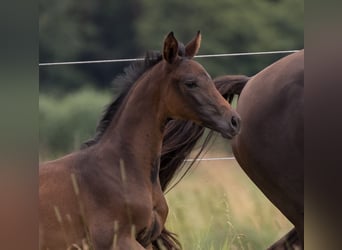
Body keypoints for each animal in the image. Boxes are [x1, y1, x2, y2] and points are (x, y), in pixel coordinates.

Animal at [39, 31, 240, 250]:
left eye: (209, 79)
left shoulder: (146, 239)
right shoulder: (117, 240)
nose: (234, 121)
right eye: (190, 83)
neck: (121, 166)